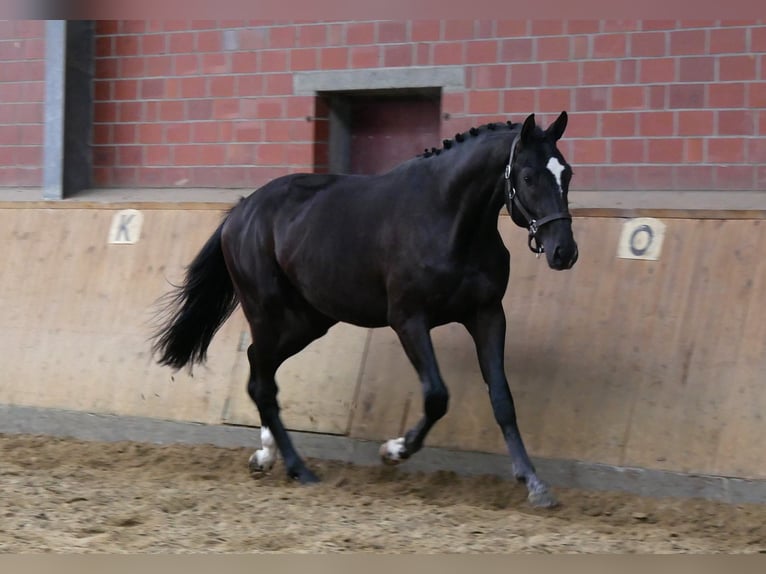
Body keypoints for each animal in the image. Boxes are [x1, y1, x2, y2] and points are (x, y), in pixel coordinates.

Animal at [153, 111, 580, 508]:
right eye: (528, 177)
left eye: (568, 173)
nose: (564, 252)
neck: (448, 219)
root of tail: (242, 211)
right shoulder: (409, 320)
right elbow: (436, 396)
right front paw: (394, 450)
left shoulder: (487, 315)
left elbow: (502, 400)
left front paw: (535, 485)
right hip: (268, 311)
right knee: (262, 381)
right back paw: (299, 469)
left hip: (309, 321)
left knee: (260, 368)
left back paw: (265, 455)